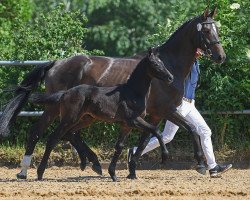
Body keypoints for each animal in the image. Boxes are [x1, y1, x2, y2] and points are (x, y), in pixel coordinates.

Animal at [29, 48, 174, 181]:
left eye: (162, 62)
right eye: (155, 64)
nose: (170, 78)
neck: (132, 92)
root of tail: (65, 93)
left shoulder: (126, 125)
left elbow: (119, 146)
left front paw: (113, 174)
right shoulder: (133, 120)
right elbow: (156, 131)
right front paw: (164, 157)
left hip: (83, 119)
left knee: (69, 134)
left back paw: (88, 163)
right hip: (69, 119)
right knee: (53, 138)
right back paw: (40, 173)